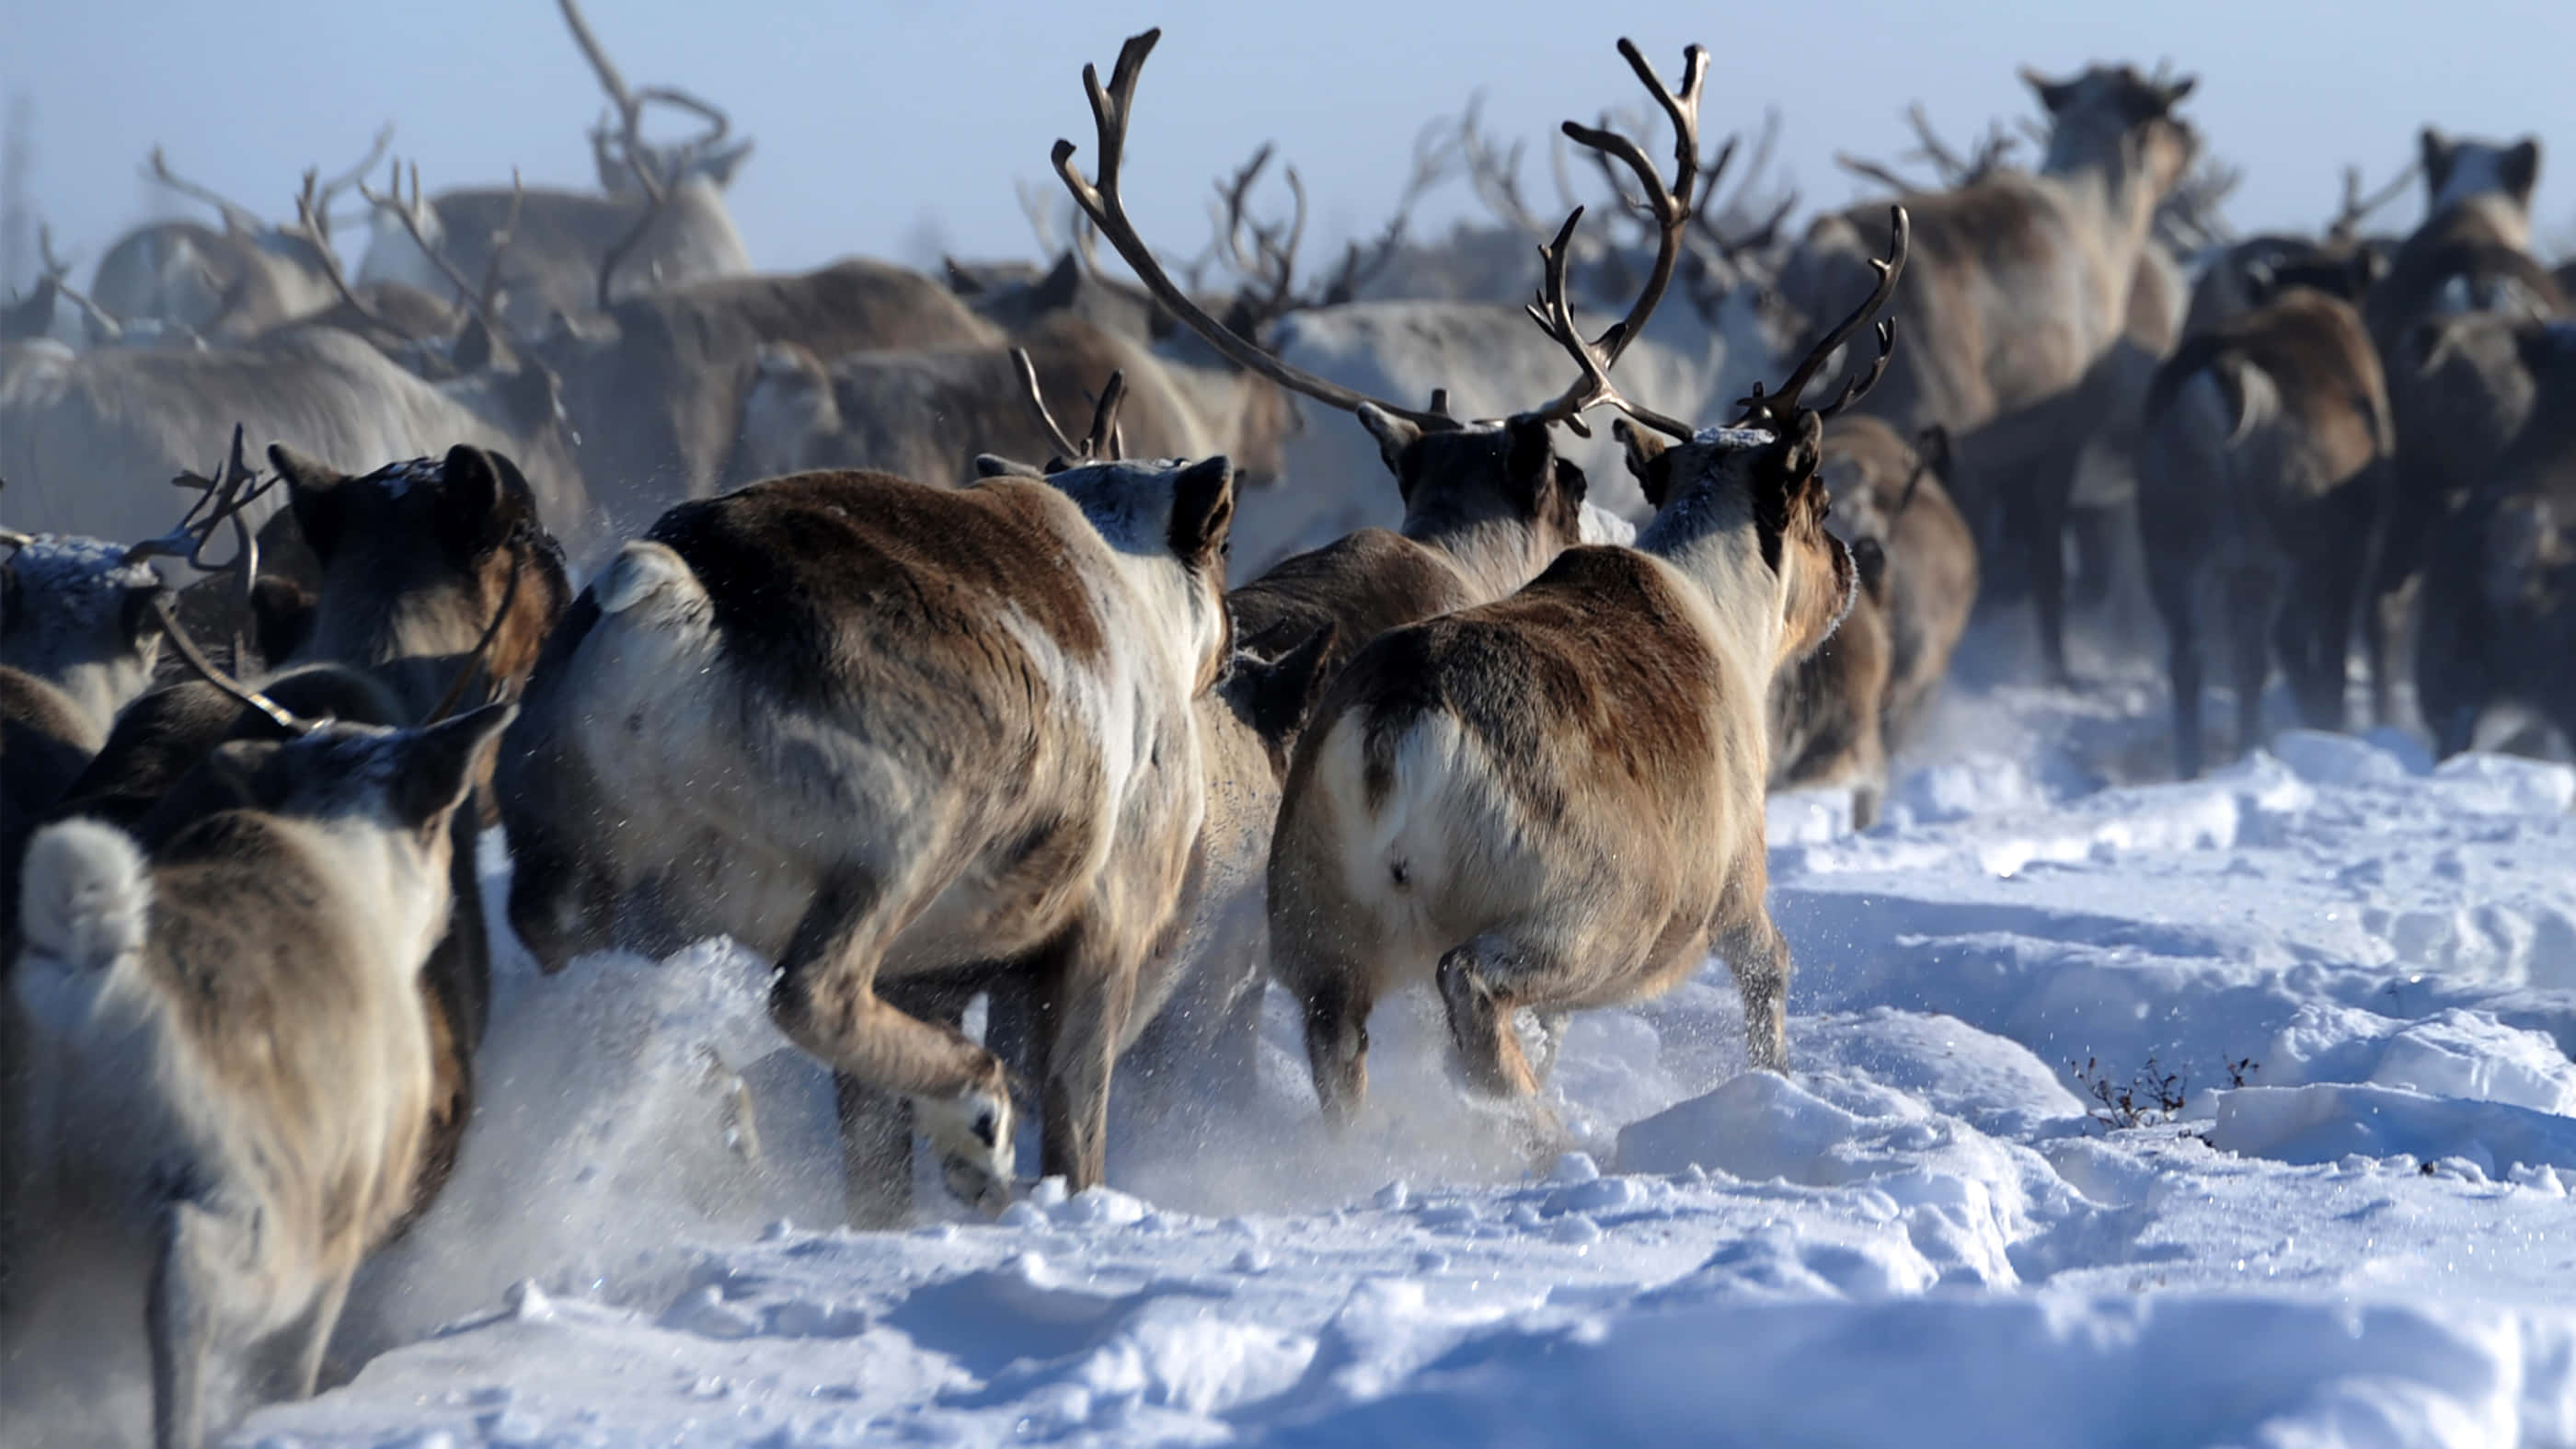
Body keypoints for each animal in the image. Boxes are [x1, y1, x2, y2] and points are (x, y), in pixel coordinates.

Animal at [3, 668, 512, 1449]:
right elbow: (294, 1364)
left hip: (22, 1231)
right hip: (259, 1213)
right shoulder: (342, 1229)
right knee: (186, 1281)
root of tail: (88, 968)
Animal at [1267, 156, 1902, 1135]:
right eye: (1820, 500)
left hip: (1316, 938)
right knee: (1472, 988)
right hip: (1583, 911)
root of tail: (1392, 725)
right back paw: (1550, 1137)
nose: (1848, 567)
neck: (1723, 609)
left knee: (1341, 1046)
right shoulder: (1736, 880)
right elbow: (1772, 970)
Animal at [1782, 65, 2195, 683]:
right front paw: (2056, 665)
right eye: (2163, 112)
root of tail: (1827, 255)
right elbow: (2043, 562)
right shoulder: (2055, 438)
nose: (2193, 137)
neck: (2108, 234)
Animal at [2137, 253, 2392, 778]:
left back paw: (2199, 764)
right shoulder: (2351, 549)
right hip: (2297, 551)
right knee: (2301, 643)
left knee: (2195, 657)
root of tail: (2228, 379)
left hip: (2171, 544)